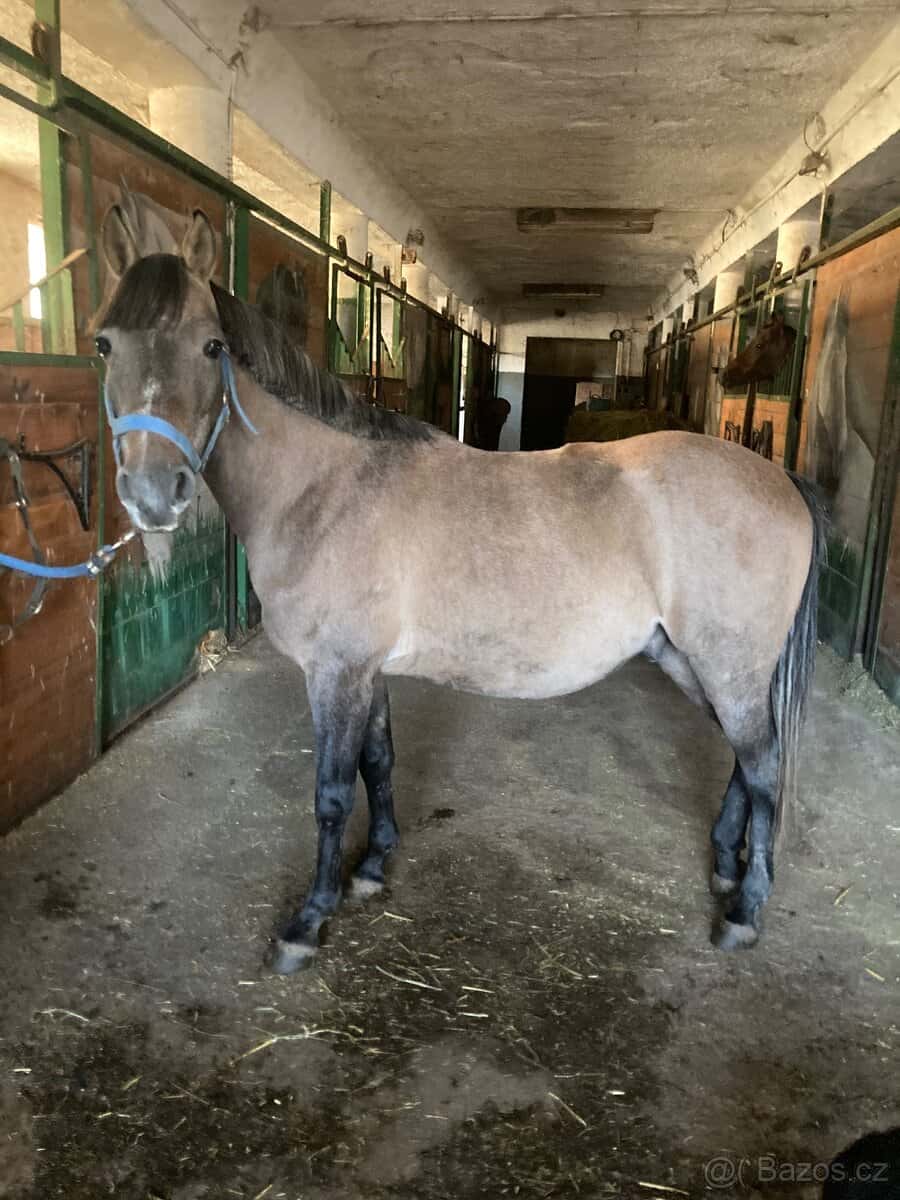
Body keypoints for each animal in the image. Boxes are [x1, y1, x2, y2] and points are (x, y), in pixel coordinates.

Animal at [95, 210, 824, 974]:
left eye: (211, 347)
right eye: (104, 344)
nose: (152, 496)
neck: (324, 489)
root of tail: (781, 480)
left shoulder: (334, 674)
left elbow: (331, 793)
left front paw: (310, 919)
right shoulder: (366, 673)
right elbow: (379, 762)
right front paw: (372, 867)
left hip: (728, 665)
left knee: (764, 765)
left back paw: (745, 909)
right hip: (689, 660)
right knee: (745, 757)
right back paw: (725, 865)